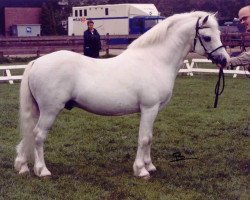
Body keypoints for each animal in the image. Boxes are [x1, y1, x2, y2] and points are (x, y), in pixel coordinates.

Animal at [13, 11, 229, 178]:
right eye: (208, 37)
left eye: (219, 33)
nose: (225, 60)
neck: (155, 60)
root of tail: (37, 62)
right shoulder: (149, 108)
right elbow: (144, 138)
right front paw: (141, 170)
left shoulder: (153, 110)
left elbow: (150, 137)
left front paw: (150, 165)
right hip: (50, 110)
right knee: (38, 135)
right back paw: (42, 171)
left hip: (38, 110)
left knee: (29, 134)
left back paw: (23, 167)